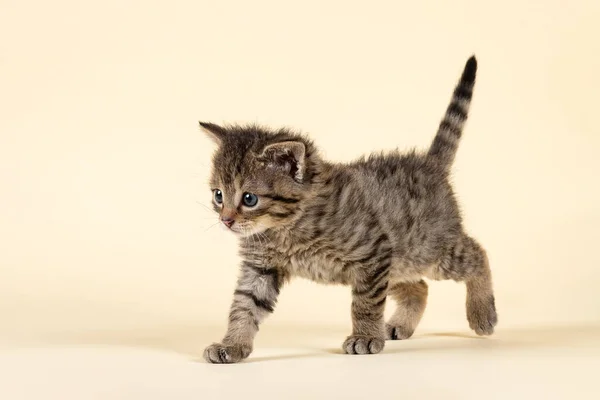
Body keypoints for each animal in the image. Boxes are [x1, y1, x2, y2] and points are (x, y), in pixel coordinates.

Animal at [202, 56, 496, 362]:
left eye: (249, 199)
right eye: (218, 195)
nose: (226, 220)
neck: (286, 228)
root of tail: (428, 164)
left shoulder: (373, 253)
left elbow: (365, 302)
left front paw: (365, 337)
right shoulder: (260, 267)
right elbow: (244, 305)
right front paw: (232, 344)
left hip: (429, 250)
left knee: (478, 255)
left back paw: (482, 313)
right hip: (400, 263)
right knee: (419, 287)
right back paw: (401, 324)